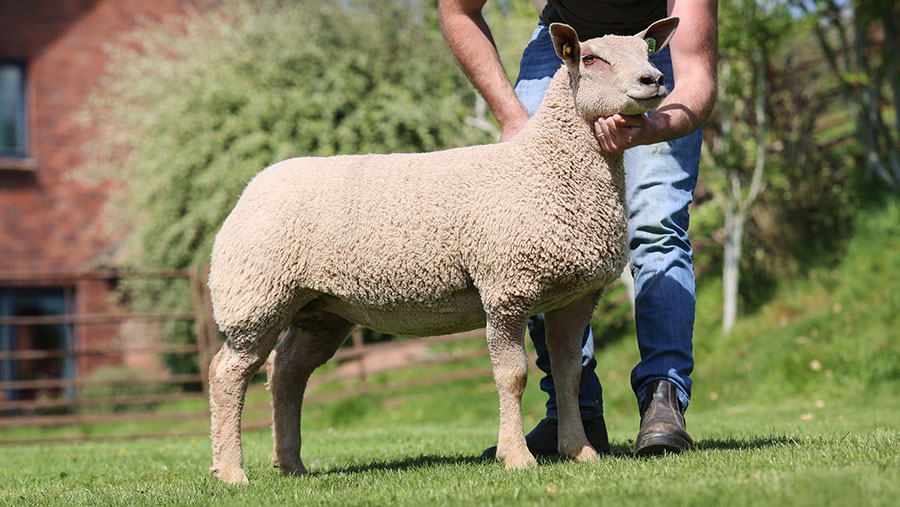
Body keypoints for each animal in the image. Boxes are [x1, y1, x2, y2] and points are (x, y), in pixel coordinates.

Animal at [206, 17, 684, 484]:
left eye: (648, 52)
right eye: (590, 58)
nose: (654, 79)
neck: (544, 166)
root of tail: (255, 183)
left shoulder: (576, 295)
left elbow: (569, 375)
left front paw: (580, 452)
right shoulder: (505, 289)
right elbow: (513, 376)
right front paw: (517, 457)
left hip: (320, 308)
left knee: (286, 372)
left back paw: (291, 464)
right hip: (257, 296)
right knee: (227, 373)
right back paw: (232, 471)